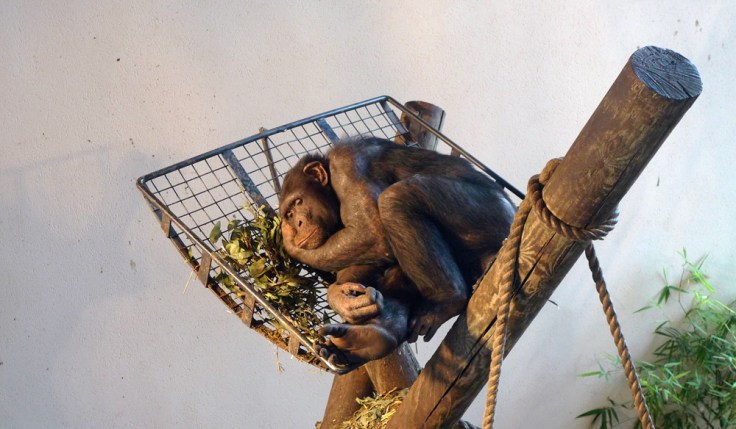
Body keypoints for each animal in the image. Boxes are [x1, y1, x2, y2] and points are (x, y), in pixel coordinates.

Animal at [278, 136, 516, 365]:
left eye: (298, 201)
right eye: (288, 213)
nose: (297, 223)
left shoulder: (346, 166)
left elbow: (371, 233)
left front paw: (290, 245)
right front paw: (341, 299)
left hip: (491, 214)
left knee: (398, 197)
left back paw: (447, 300)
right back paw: (366, 341)